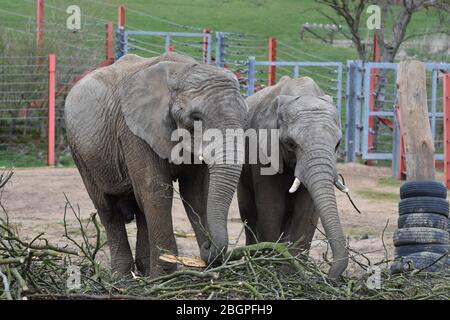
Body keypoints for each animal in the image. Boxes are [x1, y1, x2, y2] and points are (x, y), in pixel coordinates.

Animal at [64, 52, 246, 278]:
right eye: (196, 118)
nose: (206, 248)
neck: (180, 71)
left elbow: (195, 193)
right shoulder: (133, 133)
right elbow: (157, 190)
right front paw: (166, 276)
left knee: (140, 207)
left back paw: (144, 272)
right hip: (80, 151)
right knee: (107, 208)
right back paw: (123, 277)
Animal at [237, 76, 350, 278]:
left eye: (337, 144)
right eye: (291, 144)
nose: (329, 275)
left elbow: (305, 211)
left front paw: (293, 271)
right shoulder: (262, 150)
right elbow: (272, 207)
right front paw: (272, 267)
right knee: (248, 211)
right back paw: (254, 260)